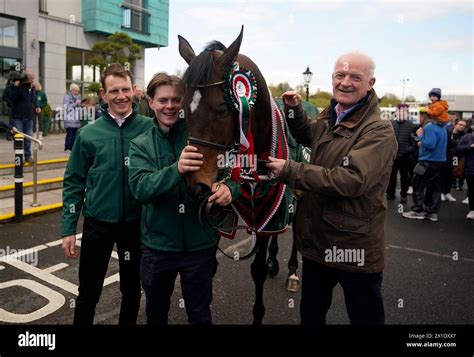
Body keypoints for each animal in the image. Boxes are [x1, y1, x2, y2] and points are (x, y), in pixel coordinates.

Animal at [180, 26, 294, 324]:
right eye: (182, 107)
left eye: (222, 109)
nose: (196, 185)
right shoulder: (219, 211)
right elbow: (209, 265)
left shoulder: (268, 210)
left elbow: (257, 270)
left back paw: (291, 271)